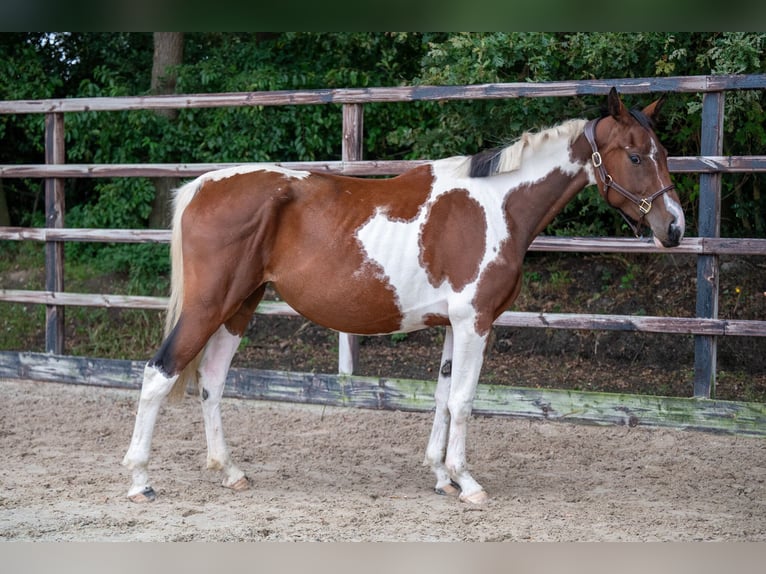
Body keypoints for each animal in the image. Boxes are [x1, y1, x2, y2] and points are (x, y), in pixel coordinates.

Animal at [123, 88, 688, 506]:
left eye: (662, 154)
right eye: (635, 155)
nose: (675, 228)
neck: (496, 205)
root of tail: (200, 187)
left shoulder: (454, 325)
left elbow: (441, 396)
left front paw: (442, 477)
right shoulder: (476, 322)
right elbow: (463, 400)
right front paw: (468, 483)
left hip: (240, 307)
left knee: (212, 380)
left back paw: (230, 471)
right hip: (209, 306)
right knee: (159, 373)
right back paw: (139, 480)